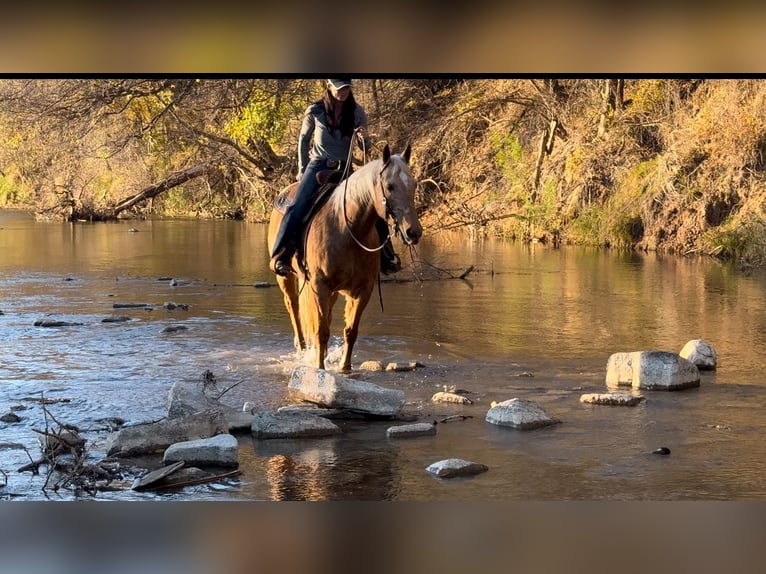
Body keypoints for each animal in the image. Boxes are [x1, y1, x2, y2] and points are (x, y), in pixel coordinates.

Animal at [268, 142, 426, 372]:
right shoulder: (320, 286)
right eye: (389, 186)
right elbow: (321, 331)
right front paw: (320, 369)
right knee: (294, 311)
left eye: (413, 185)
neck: (348, 229)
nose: (413, 232)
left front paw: (344, 367)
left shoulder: (362, 290)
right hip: (286, 278)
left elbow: (350, 331)